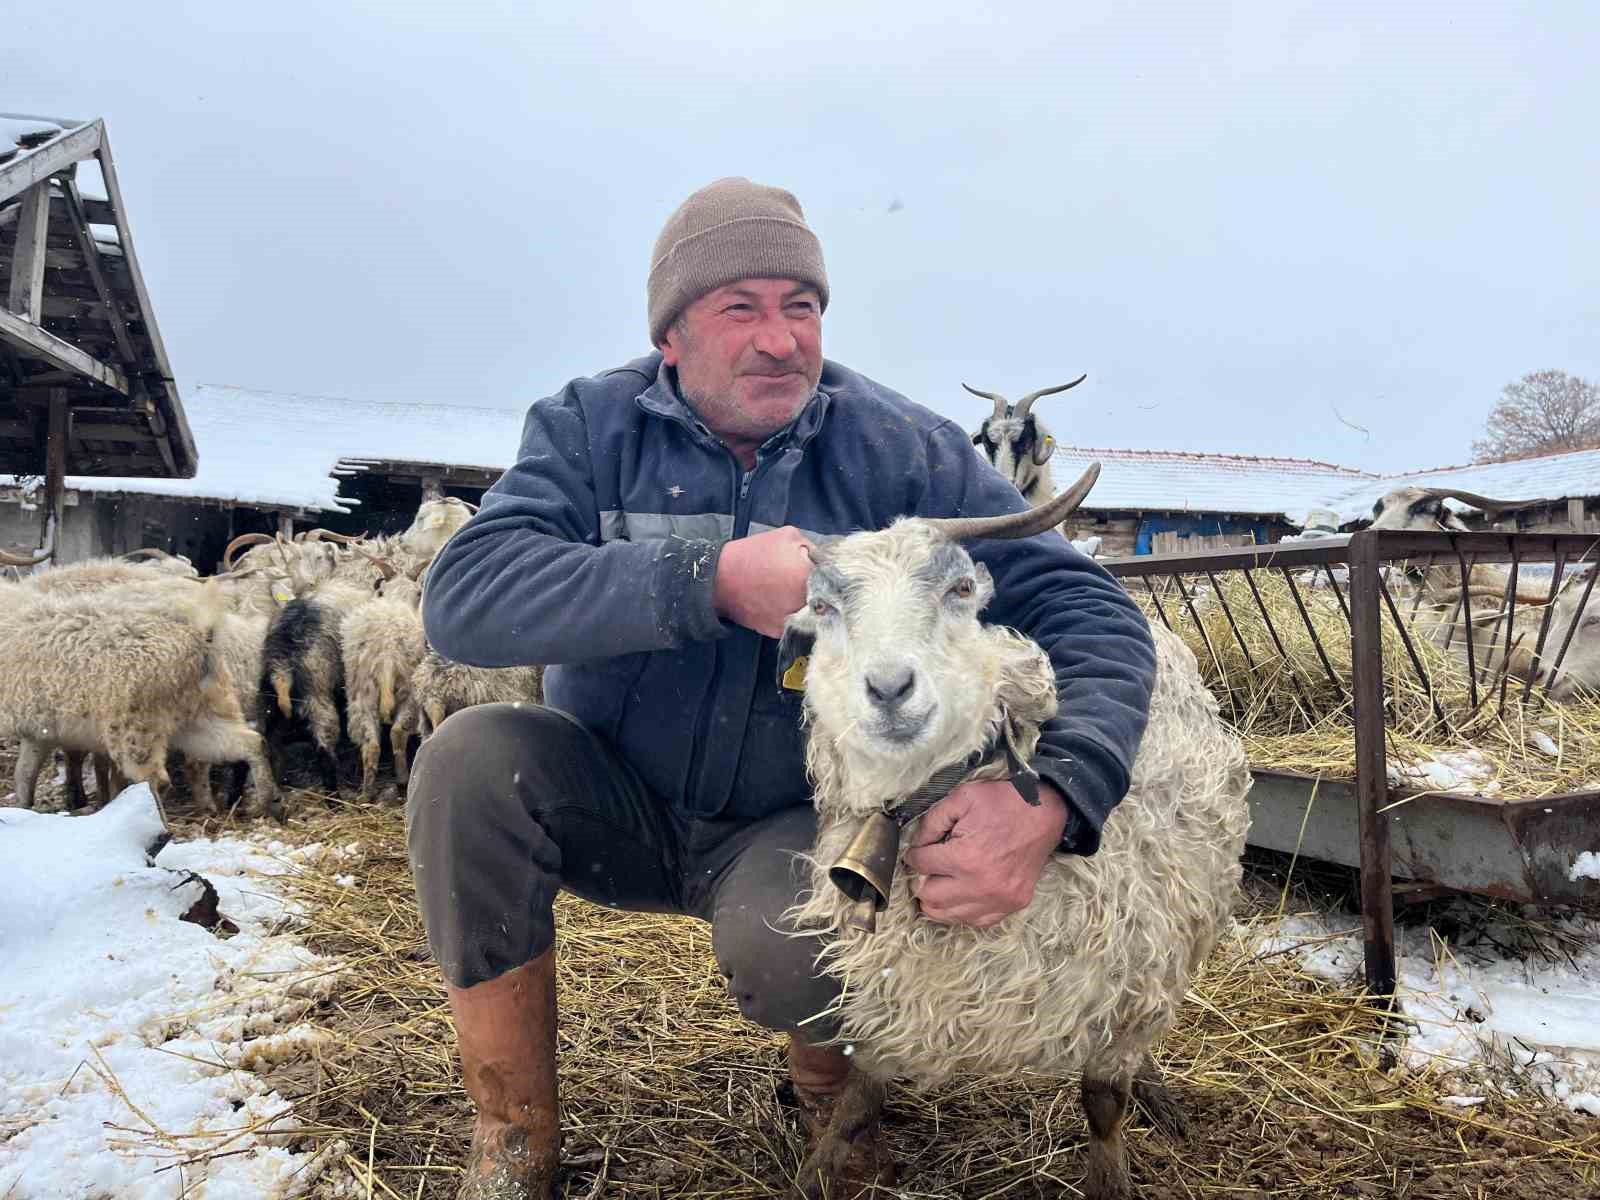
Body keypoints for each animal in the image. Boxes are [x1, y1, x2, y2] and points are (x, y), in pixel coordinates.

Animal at [0, 579, 281, 825]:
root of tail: (199, 636)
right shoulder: (38, 732)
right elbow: (24, 775)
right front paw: (23, 808)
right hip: (203, 715)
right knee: (250, 742)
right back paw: (265, 804)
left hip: (136, 730)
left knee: (155, 779)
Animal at [780, 467, 1254, 1200]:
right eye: (822, 607)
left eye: (958, 590)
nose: (889, 688)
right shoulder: (890, 990)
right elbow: (857, 1105)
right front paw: (817, 1172)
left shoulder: (1125, 974)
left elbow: (1103, 1102)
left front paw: (1111, 1177)